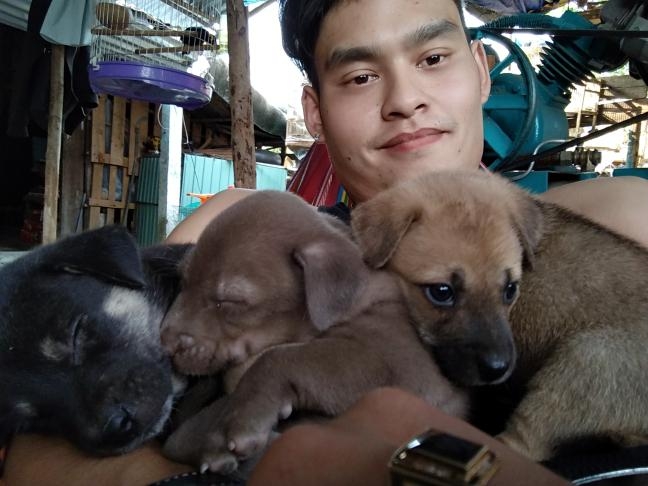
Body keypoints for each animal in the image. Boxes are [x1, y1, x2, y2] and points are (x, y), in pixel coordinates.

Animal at [160, 190, 468, 473]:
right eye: (183, 281)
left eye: (230, 302)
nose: (165, 346)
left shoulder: (394, 362)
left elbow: (277, 359)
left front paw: (241, 422)